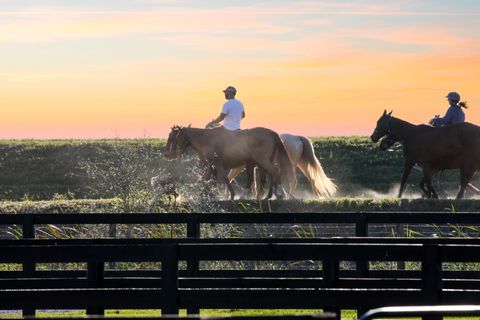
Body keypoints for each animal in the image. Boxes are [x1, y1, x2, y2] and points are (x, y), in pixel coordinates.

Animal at [167, 125, 298, 199]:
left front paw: (231, 194)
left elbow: (224, 178)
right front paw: (206, 194)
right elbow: (207, 179)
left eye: (173, 138)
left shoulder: (217, 163)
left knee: (274, 173)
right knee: (268, 177)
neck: (207, 139)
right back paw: (268, 195)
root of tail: (271, 132)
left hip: (263, 161)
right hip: (262, 163)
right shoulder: (212, 164)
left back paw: (278, 193)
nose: (169, 154)